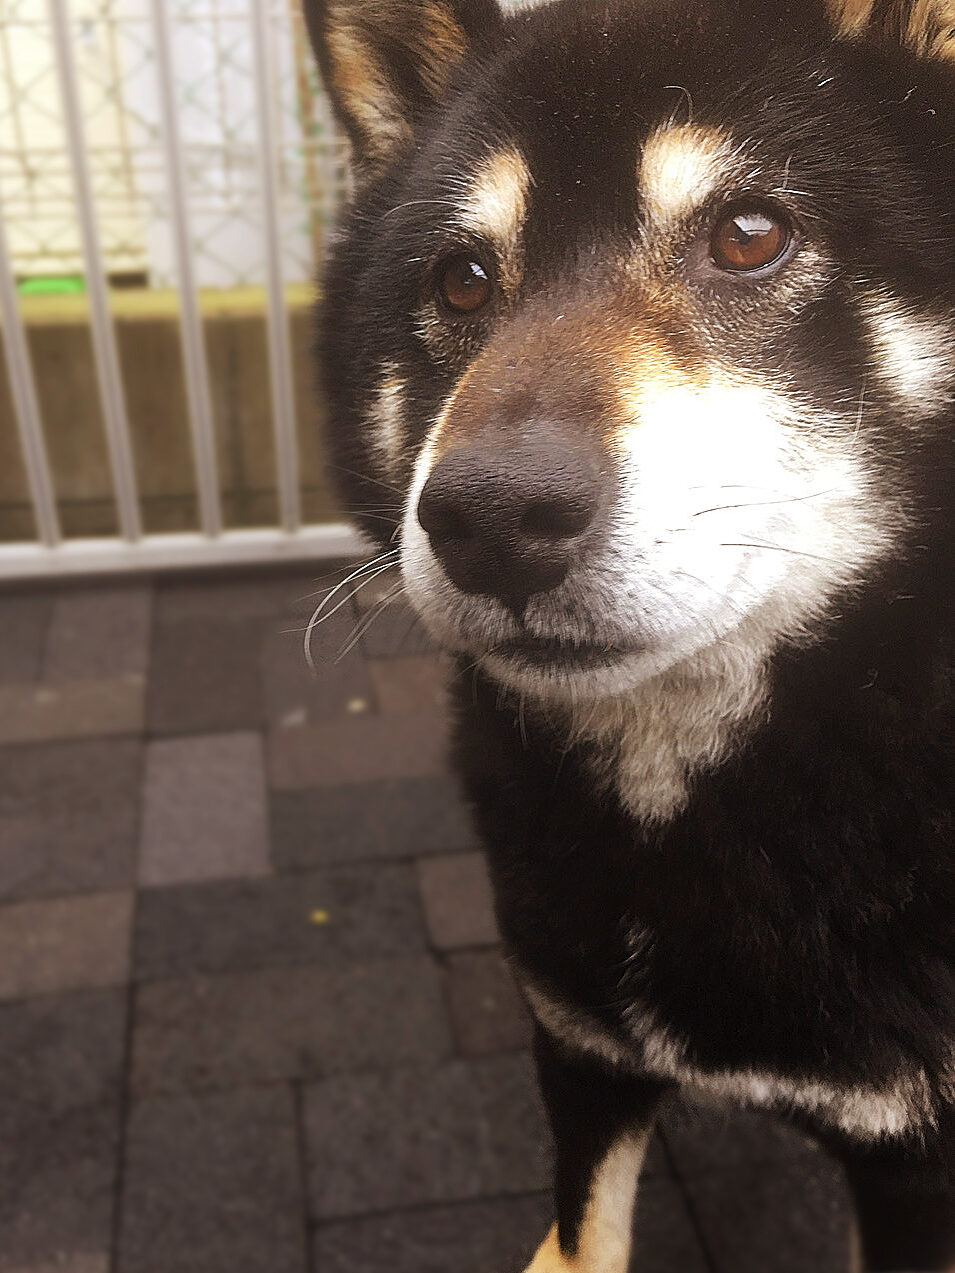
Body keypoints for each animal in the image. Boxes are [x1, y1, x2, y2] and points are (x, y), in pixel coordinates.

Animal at [303, 0, 955, 1267]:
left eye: (749, 235)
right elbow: (586, 1235)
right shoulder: (581, 1054)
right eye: (461, 281)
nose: (492, 518)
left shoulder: (915, 1163)